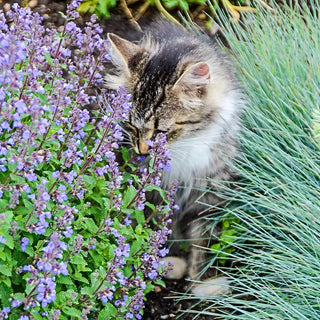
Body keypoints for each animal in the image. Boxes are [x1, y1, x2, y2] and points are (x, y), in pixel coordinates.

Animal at [105, 19, 245, 296]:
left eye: (161, 132)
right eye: (131, 125)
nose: (143, 151)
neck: (187, 144)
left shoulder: (209, 190)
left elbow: (203, 238)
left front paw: (202, 281)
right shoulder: (155, 191)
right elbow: (157, 225)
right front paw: (161, 260)